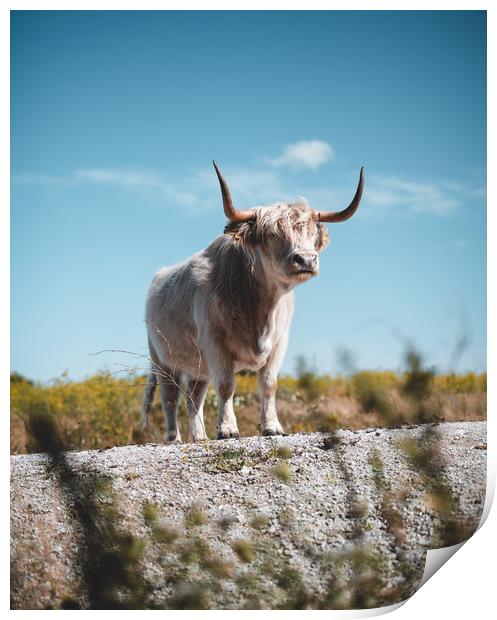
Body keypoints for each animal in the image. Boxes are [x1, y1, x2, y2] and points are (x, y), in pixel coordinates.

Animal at [141, 160, 362, 440]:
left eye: (312, 234)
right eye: (271, 235)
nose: (306, 259)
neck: (260, 308)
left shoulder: (279, 343)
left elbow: (269, 384)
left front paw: (272, 426)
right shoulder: (214, 343)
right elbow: (226, 386)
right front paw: (228, 429)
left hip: (198, 366)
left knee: (194, 397)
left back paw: (199, 437)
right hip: (162, 359)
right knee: (170, 397)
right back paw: (174, 438)